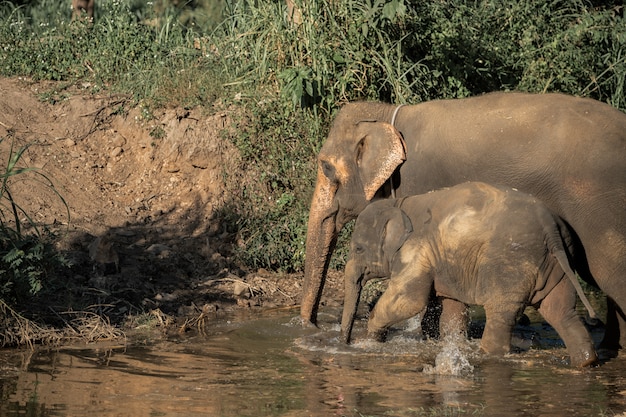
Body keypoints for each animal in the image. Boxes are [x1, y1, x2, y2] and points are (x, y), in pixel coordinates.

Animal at [342, 182, 596, 368]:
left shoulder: (416, 247)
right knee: (561, 311)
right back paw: (585, 362)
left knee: (501, 314)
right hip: (558, 262)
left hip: (512, 263)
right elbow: (451, 309)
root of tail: (551, 228)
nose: (345, 342)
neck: (399, 203)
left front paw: (369, 341)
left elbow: (409, 299)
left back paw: (489, 355)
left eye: (358, 249)